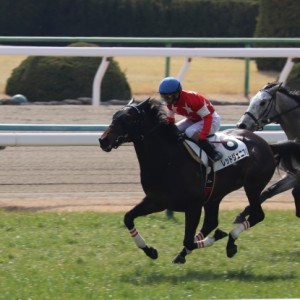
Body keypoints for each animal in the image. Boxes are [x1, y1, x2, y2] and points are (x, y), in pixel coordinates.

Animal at [99, 98, 298, 262]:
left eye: (128, 119)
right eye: (114, 116)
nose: (103, 140)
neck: (167, 160)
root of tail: (267, 145)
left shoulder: (192, 205)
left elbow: (188, 240)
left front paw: (218, 236)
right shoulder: (156, 201)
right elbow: (128, 218)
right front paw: (150, 250)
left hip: (252, 186)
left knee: (257, 215)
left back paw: (230, 241)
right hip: (215, 194)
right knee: (211, 221)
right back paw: (186, 254)